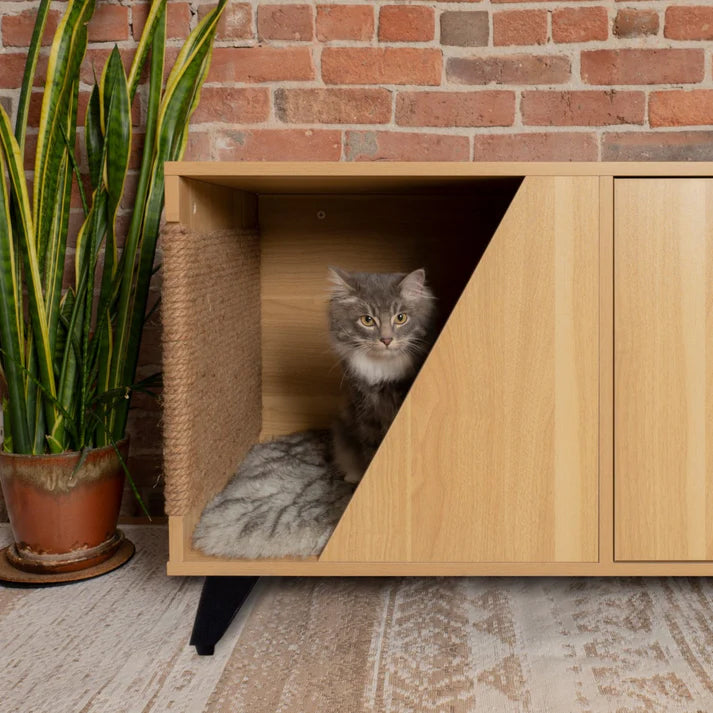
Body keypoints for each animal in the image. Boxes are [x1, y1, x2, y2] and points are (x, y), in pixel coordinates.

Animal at [326, 268, 434, 484]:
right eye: (367, 320)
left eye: (400, 318)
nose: (386, 339)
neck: (381, 366)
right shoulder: (365, 408)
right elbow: (372, 447)